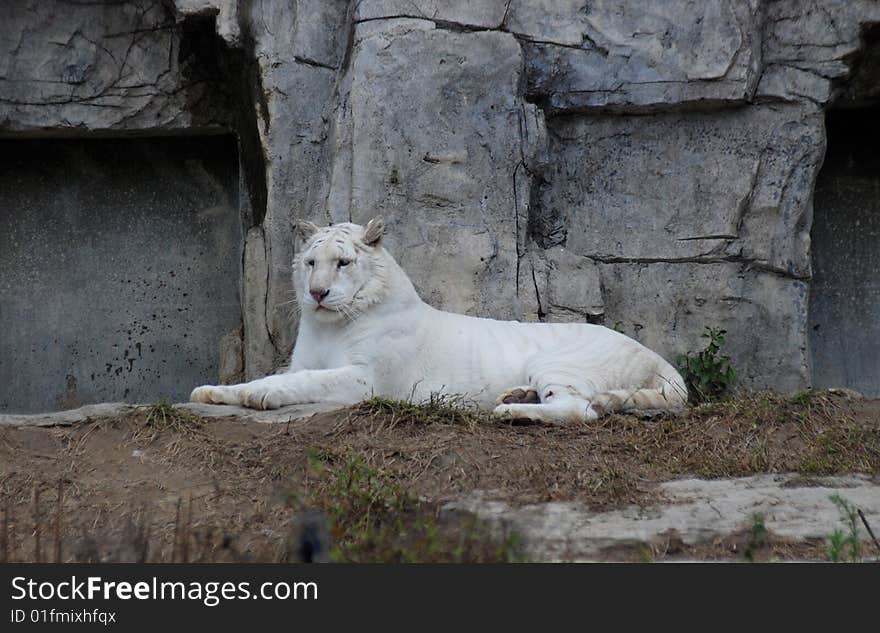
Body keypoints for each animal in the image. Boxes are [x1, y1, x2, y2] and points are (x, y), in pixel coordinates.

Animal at [192, 220, 688, 422]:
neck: (328, 324)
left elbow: (300, 383)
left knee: (579, 410)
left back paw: (510, 411)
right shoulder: (303, 360)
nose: (316, 293)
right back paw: (516, 395)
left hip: (560, 362)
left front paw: (259, 396)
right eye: (311, 262)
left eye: (343, 263)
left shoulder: (366, 379)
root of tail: (654, 355)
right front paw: (213, 392)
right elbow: (274, 375)